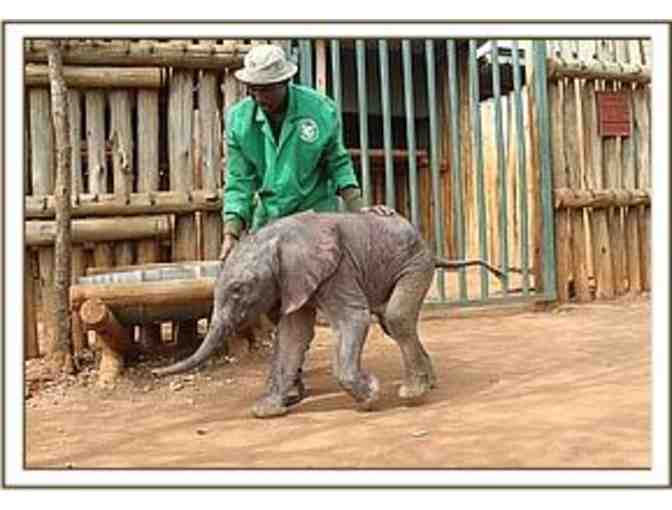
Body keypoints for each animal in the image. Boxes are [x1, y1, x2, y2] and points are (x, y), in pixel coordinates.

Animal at [153, 211, 504, 418]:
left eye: (239, 289)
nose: (155, 373)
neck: (279, 237)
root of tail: (429, 245)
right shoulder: (292, 280)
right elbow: (292, 336)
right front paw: (266, 410)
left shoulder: (337, 271)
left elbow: (353, 320)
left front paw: (371, 396)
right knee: (392, 322)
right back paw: (428, 385)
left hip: (415, 264)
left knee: (396, 317)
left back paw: (412, 392)